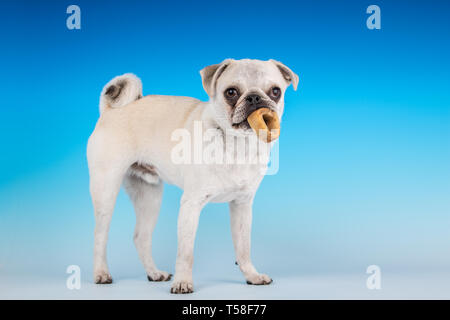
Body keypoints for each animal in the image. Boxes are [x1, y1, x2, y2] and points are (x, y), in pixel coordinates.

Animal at [88, 58, 298, 294]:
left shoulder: (242, 205)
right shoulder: (191, 205)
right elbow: (186, 252)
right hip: (106, 190)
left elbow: (243, 247)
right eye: (231, 92)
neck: (237, 144)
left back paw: (154, 273)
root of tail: (110, 111)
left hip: (149, 197)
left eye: (275, 92)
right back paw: (101, 273)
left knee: (141, 237)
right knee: (100, 236)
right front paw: (183, 282)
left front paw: (251, 275)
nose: (254, 98)